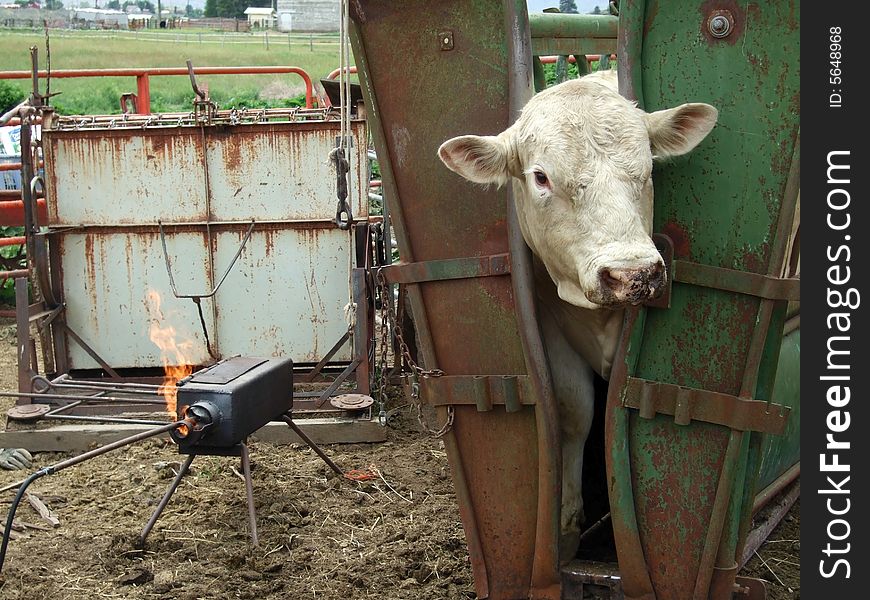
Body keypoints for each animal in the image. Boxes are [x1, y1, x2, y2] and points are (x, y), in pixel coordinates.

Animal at [440, 71, 720, 556]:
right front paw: (568, 518)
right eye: (540, 177)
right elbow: (576, 411)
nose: (632, 274)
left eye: (648, 168)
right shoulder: (549, 329)